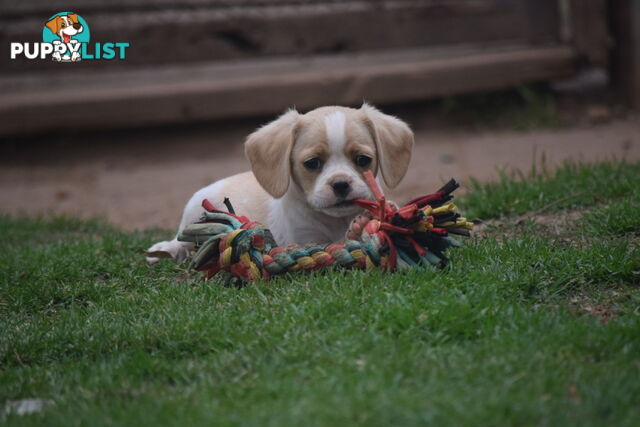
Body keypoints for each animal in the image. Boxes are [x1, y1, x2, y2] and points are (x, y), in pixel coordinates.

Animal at [146, 104, 412, 264]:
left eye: (363, 160)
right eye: (312, 163)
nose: (340, 184)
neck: (336, 221)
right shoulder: (306, 240)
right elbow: (338, 243)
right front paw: (358, 231)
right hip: (193, 216)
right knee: (180, 240)